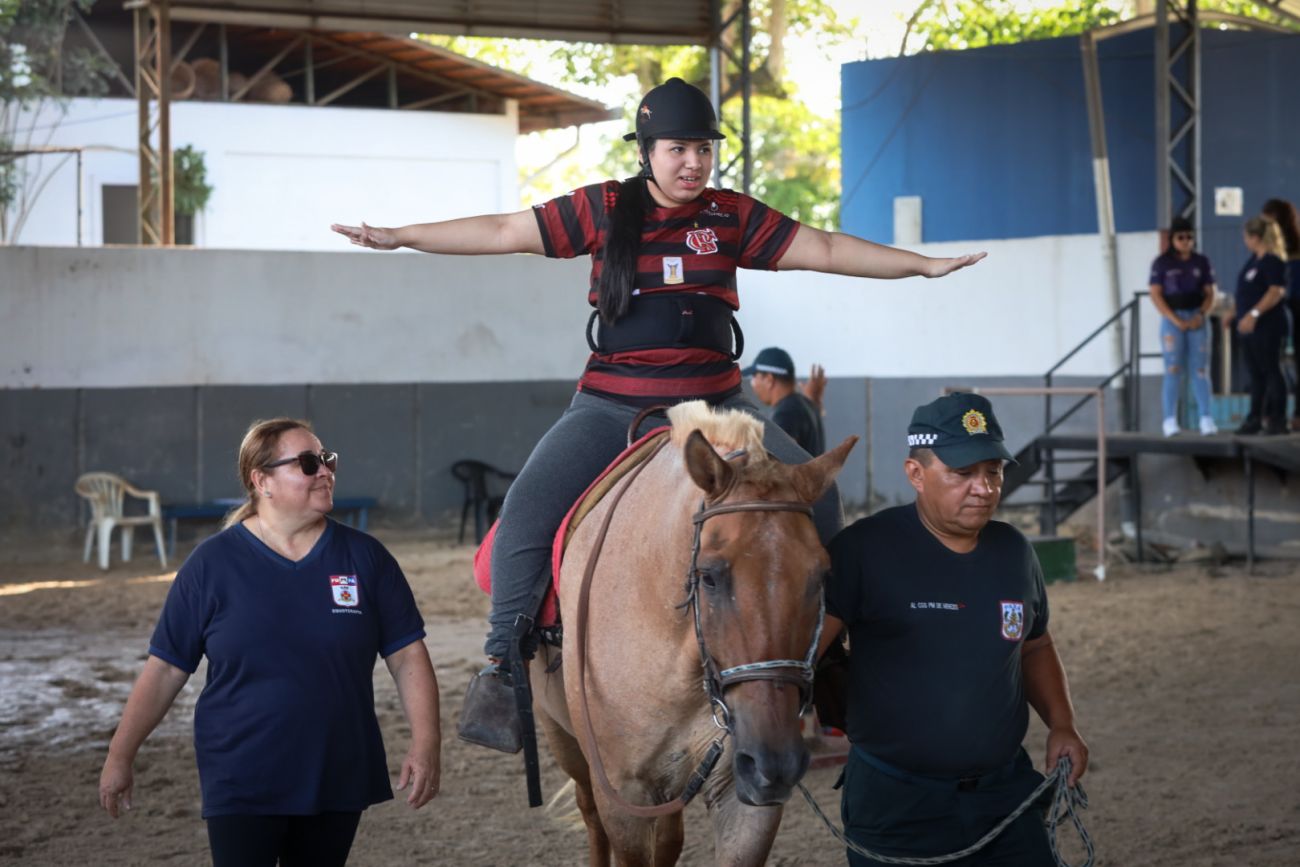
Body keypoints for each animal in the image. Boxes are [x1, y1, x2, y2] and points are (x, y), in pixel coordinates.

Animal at [527, 402, 852, 867]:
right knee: (589, 815)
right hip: (563, 739)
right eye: (709, 575)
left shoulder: (741, 791)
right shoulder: (623, 796)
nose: (777, 763)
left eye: (822, 575)